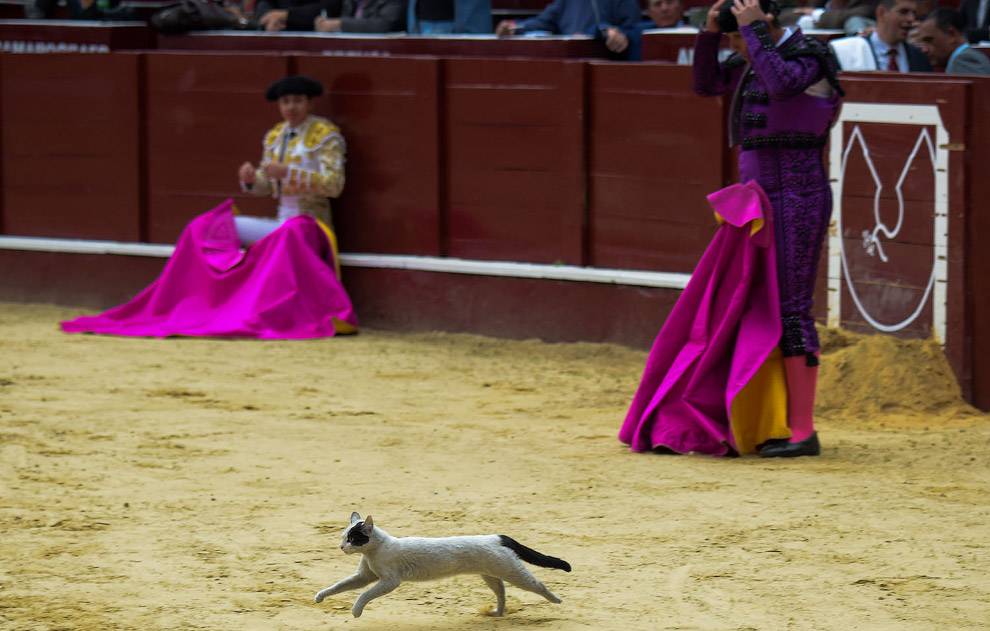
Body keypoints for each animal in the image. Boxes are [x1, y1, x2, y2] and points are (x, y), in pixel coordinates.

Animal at [314, 512, 568, 616]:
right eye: (343, 537)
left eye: (352, 538)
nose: (341, 547)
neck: (373, 552)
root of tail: (496, 536)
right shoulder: (364, 577)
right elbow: (338, 586)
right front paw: (319, 597)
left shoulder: (389, 581)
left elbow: (363, 595)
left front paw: (356, 612)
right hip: (491, 575)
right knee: (502, 592)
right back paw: (498, 613)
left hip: (513, 573)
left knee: (538, 585)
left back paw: (557, 601)